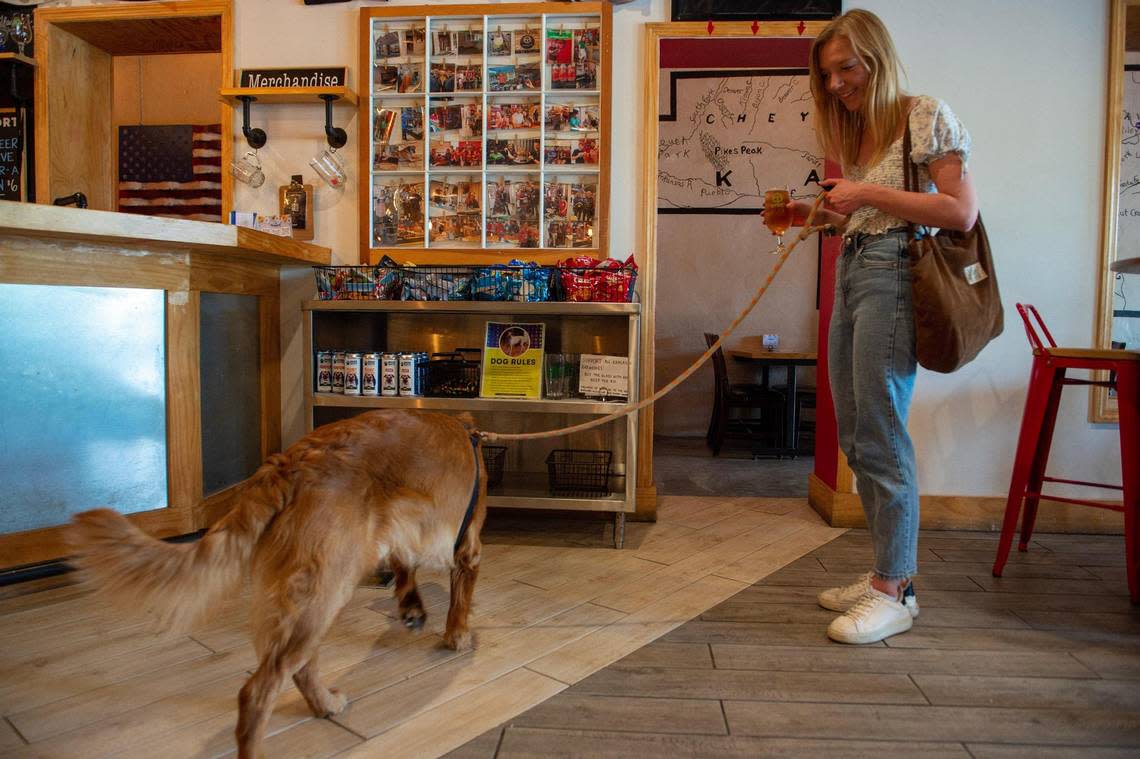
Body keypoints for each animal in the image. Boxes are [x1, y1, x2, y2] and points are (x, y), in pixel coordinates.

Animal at [65, 410, 485, 752]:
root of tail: (288, 464)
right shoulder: (468, 549)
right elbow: (459, 599)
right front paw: (457, 635)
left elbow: (404, 566)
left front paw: (413, 608)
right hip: (327, 588)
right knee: (257, 692)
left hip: (311, 596)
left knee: (298, 666)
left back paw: (324, 704)